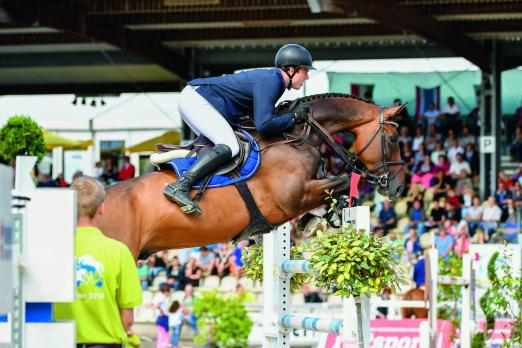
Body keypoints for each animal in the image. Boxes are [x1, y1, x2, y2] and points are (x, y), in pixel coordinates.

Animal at [98, 94, 406, 260]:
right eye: (393, 138)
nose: (398, 188)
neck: (296, 136)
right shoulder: (293, 197)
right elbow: (342, 182)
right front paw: (320, 217)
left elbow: (336, 189)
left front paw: (315, 220)